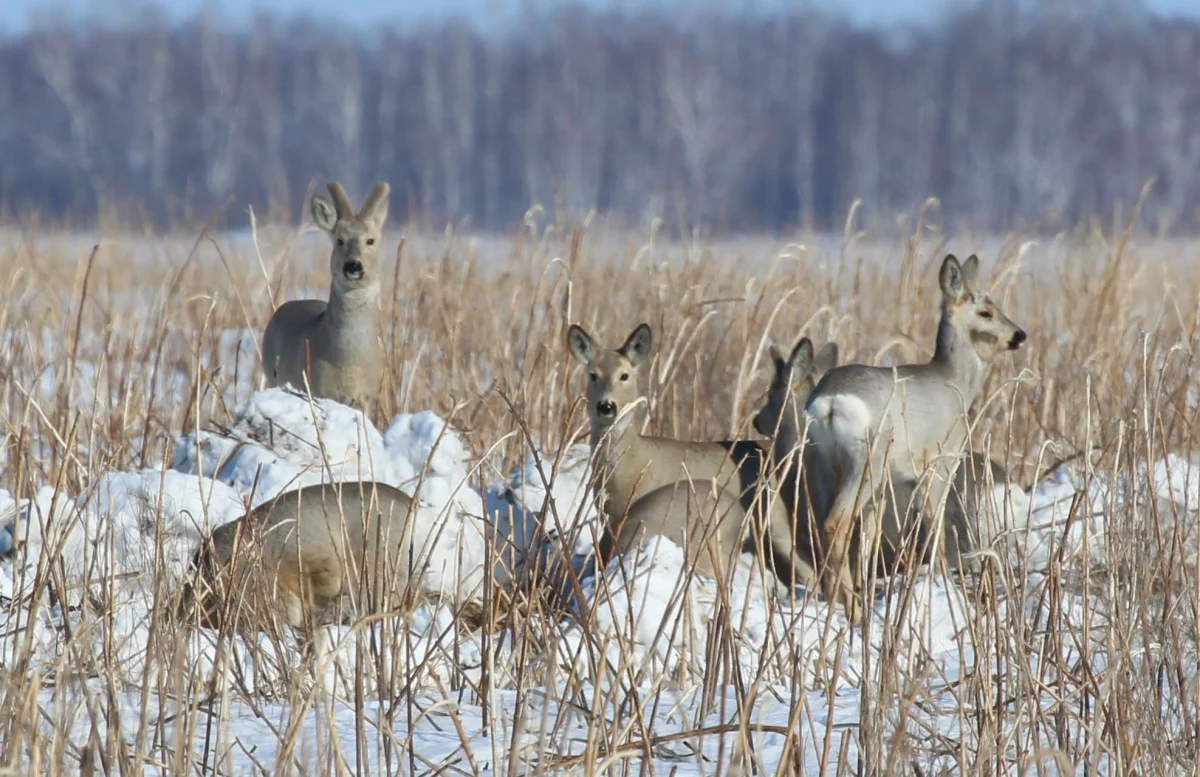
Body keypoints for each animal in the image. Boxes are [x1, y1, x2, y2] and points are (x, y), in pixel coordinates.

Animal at [264, 179, 391, 419]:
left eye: (371, 240)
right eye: (339, 240)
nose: (353, 265)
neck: (349, 363)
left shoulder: (369, 396)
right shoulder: (318, 389)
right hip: (269, 372)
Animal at [801, 255, 1027, 623]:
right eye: (986, 312)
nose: (1020, 335)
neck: (954, 383)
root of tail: (829, 402)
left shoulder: (888, 486)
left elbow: (870, 537)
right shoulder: (938, 464)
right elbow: (936, 528)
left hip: (822, 460)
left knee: (823, 522)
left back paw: (843, 601)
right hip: (867, 460)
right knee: (836, 521)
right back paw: (853, 609)